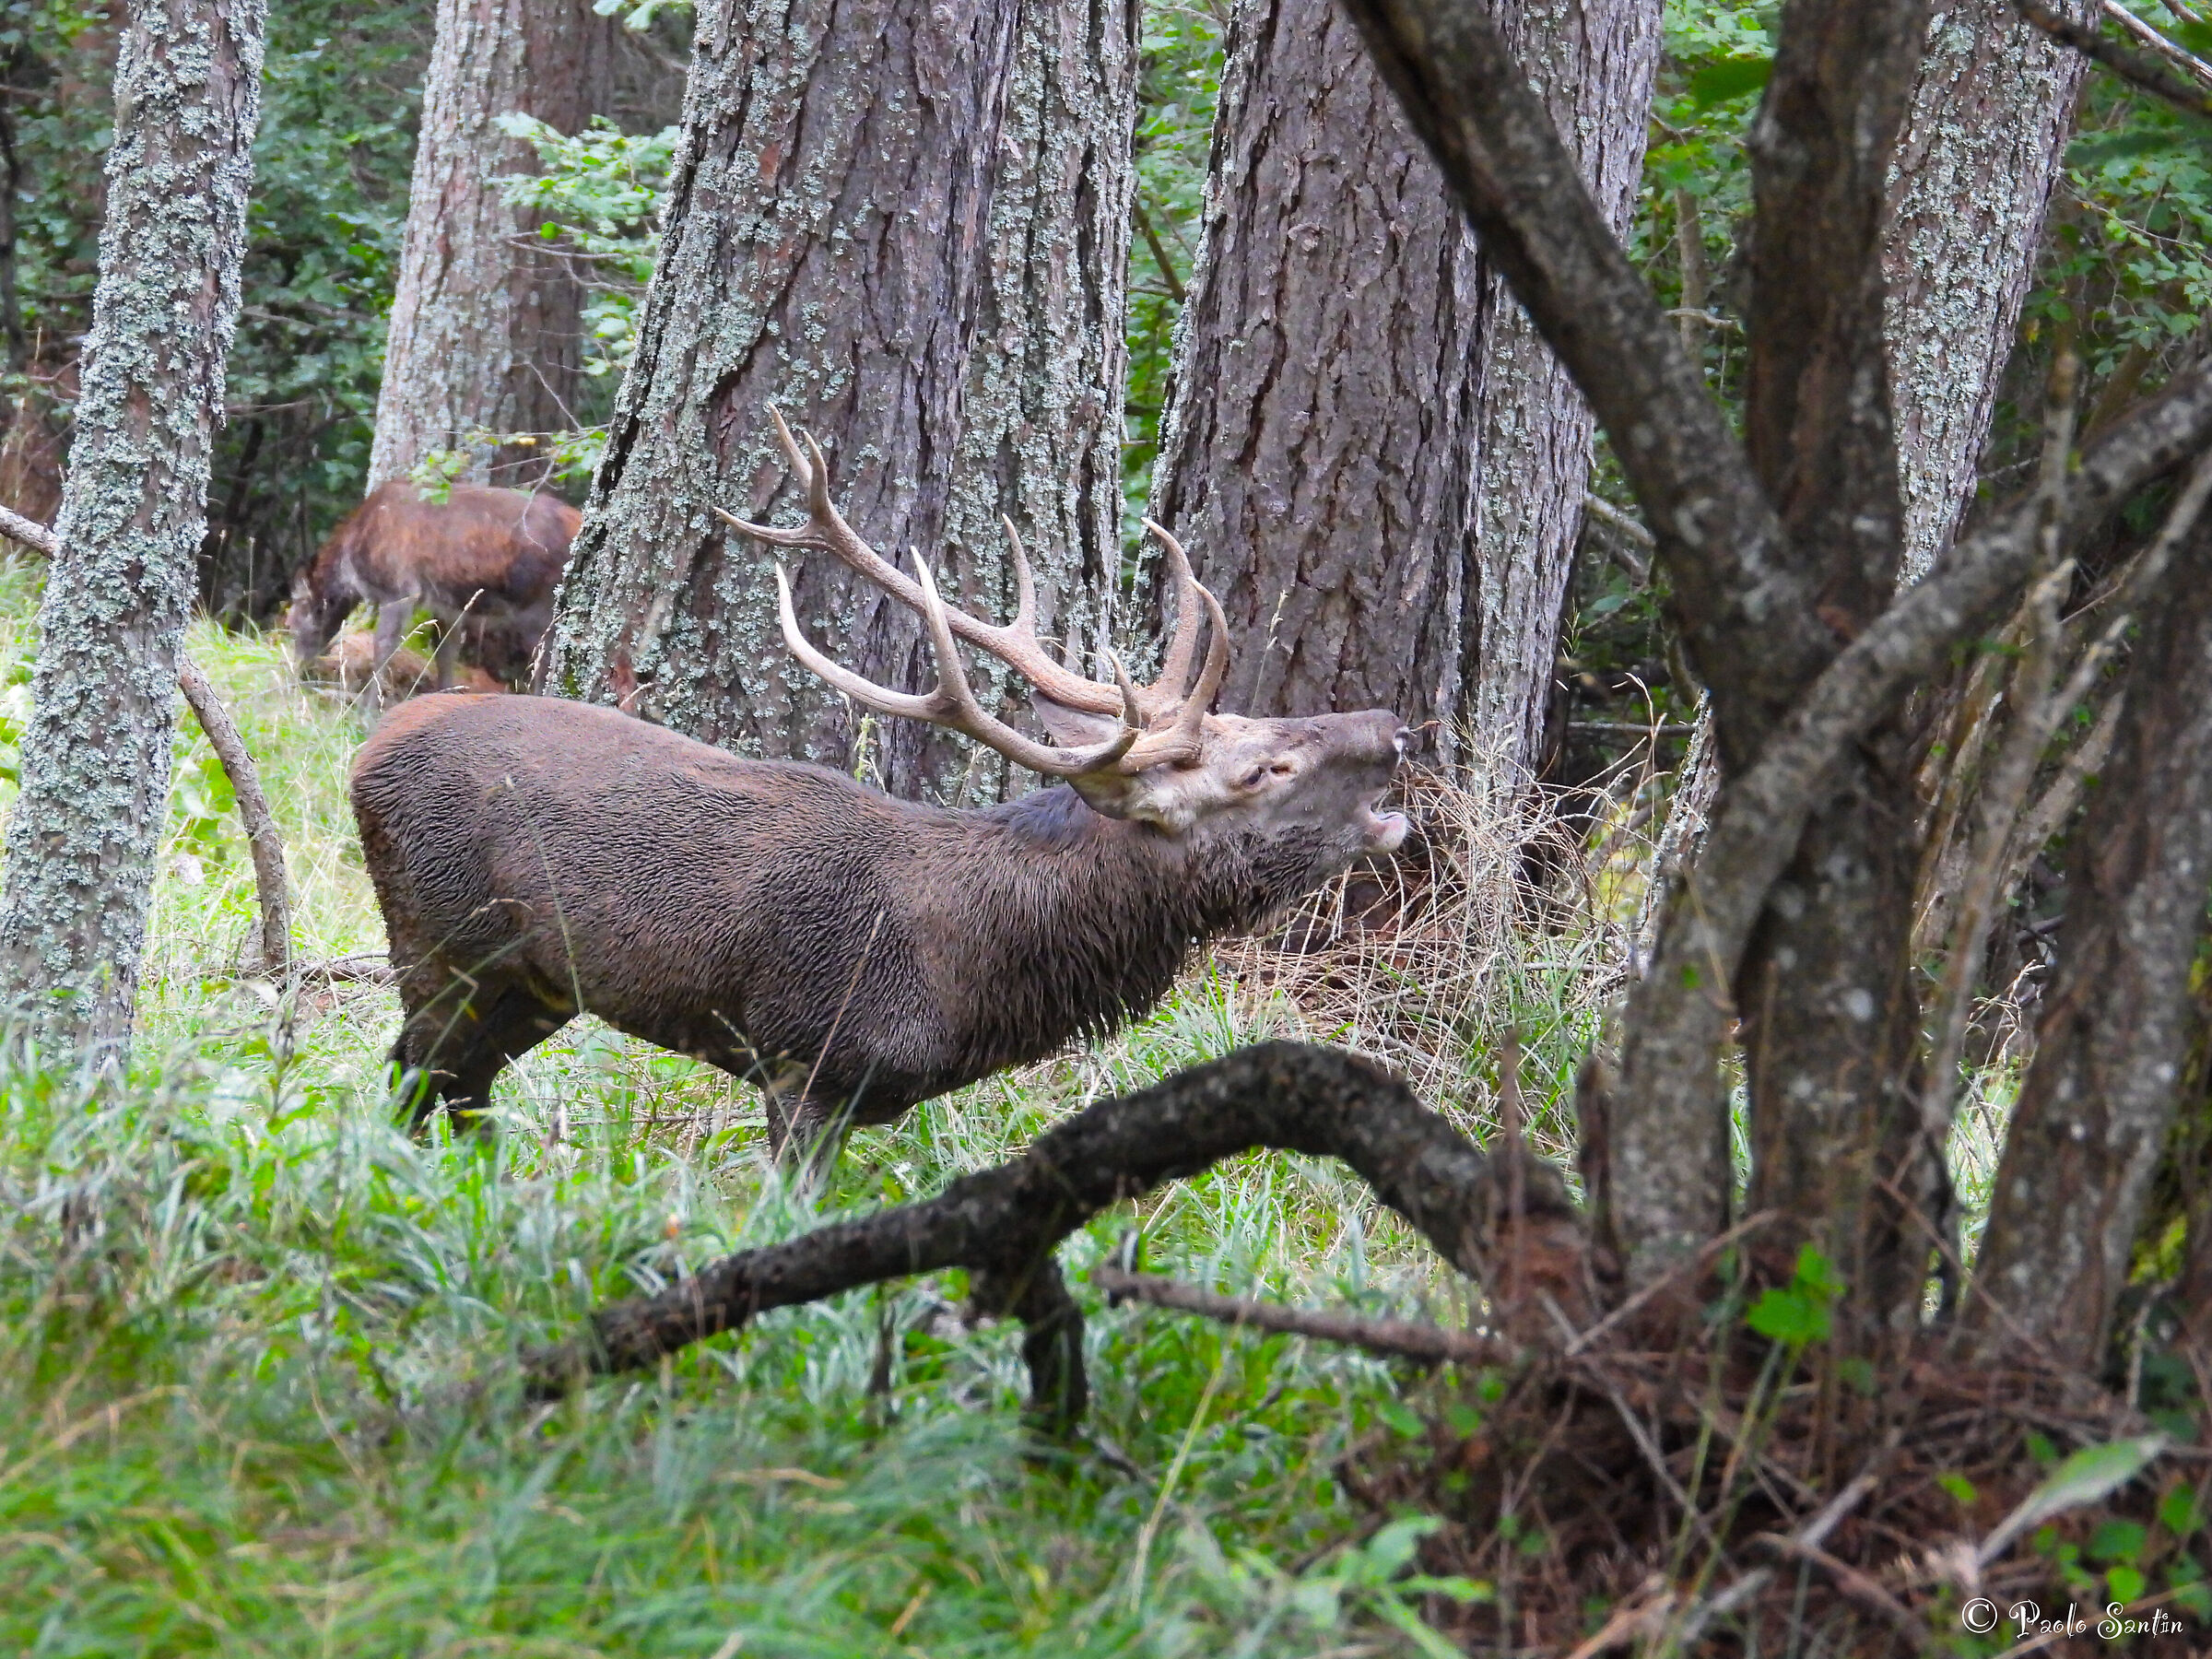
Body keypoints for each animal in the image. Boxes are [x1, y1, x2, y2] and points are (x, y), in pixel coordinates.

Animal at [287, 480, 579, 699]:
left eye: (292, 623)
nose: (296, 671)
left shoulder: (399, 589)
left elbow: (383, 649)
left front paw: (365, 712)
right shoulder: (449, 606)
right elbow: (445, 655)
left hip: (539, 606)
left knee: (547, 662)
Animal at [349, 411, 1410, 1158]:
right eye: (1261, 767)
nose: (1392, 726)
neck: (972, 977)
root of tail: (363, 755)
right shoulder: (808, 1063)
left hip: (533, 982)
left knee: (456, 1091)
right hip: (438, 941)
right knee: (408, 1076)